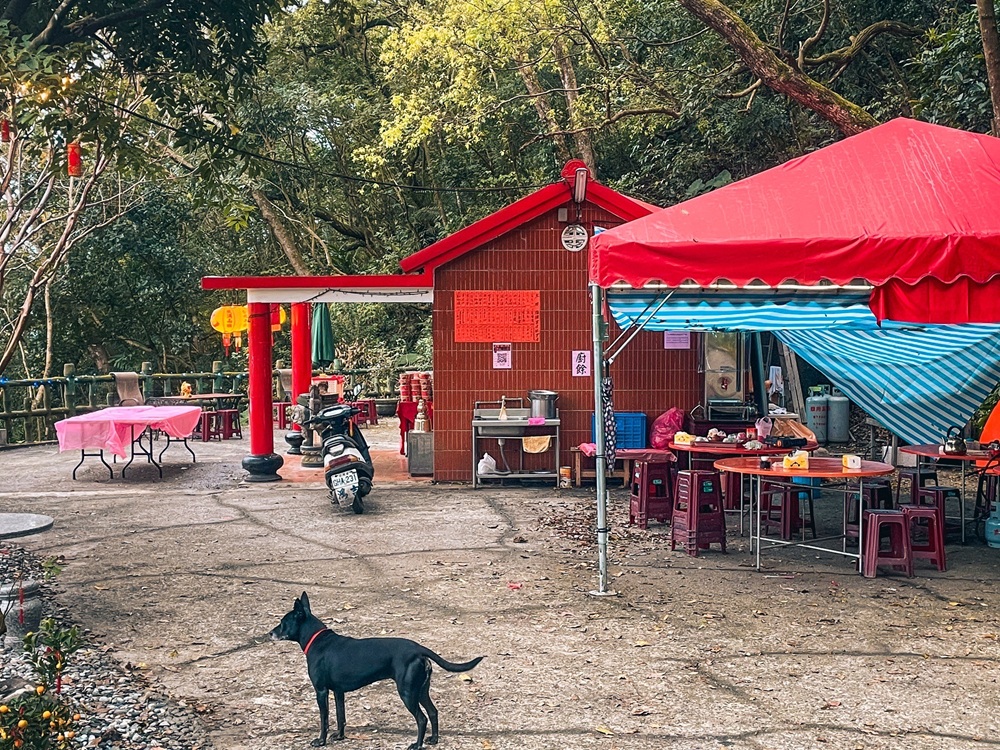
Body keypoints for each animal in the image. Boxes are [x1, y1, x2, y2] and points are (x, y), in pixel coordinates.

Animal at [268, 596, 482, 748]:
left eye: (283, 621)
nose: (270, 633)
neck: (317, 640)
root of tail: (419, 649)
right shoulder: (338, 692)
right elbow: (340, 716)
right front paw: (339, 736)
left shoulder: (321, 691)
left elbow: (324, 719)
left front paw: (320, 741)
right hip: (421, 690)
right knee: (433, 712)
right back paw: (433, 740)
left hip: (407, 693)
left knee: (421, 719)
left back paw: (417, 745)